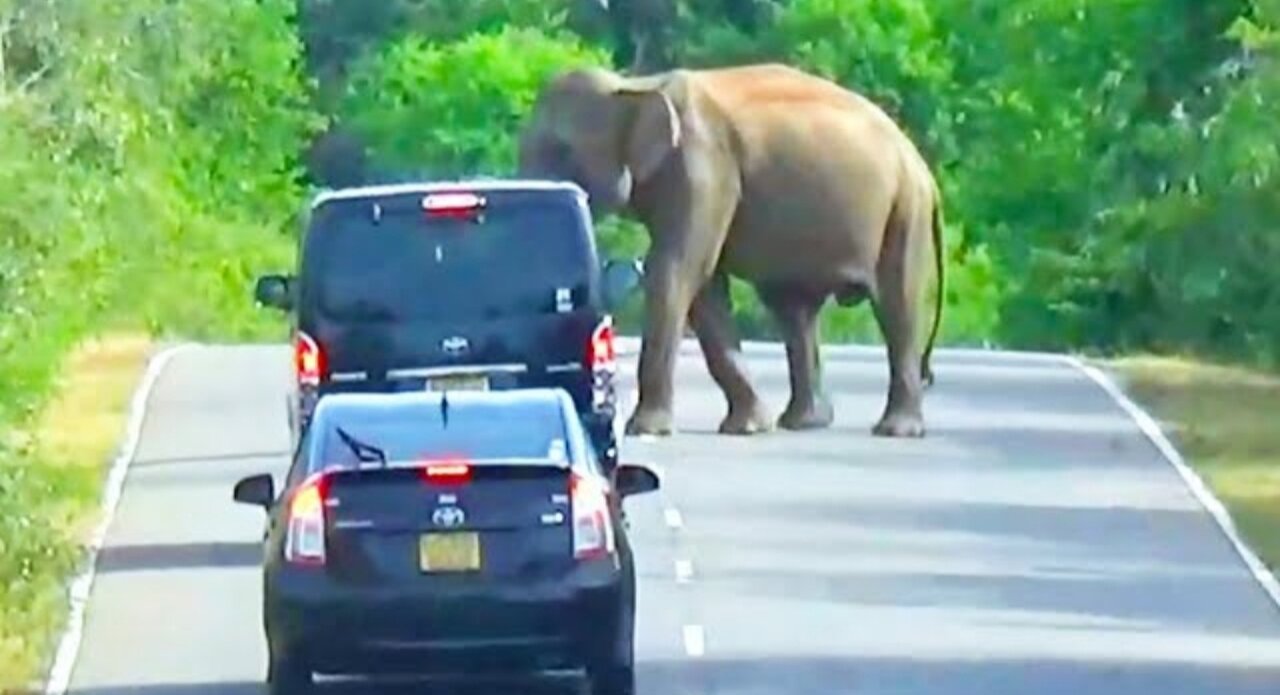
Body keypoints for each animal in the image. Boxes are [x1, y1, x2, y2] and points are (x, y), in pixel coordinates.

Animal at [516, 63, 945, 438]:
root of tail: (923, 169)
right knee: (794, 311)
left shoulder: (702, 169)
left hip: (905, 209)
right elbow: (705, 288)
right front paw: (749, 427)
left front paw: (645, 429)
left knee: (897, 305)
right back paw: (803, 422)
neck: (635, 86)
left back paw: (895, 430)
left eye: (561, 150)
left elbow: (676, 271)